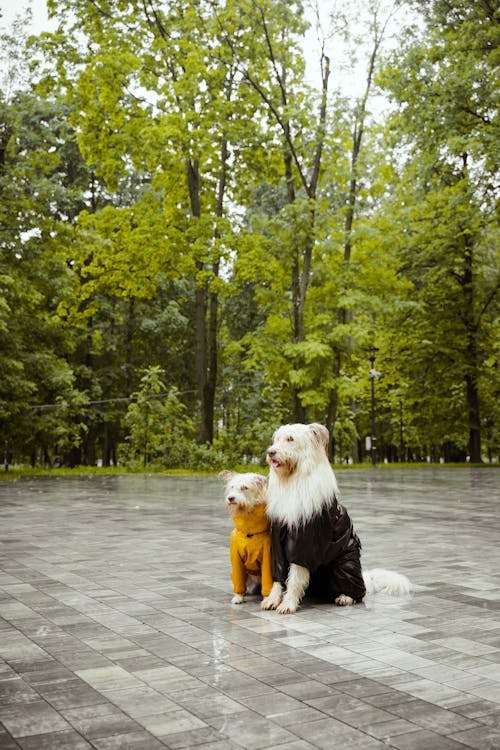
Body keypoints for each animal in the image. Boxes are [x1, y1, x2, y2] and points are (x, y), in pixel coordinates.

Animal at [221, 472, 274, 608]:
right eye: (232, 487)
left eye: (245, 487)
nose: (231, 498)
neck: (249, 533)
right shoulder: (236, 559)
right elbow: (238, 579)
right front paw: (238, 597)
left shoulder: (267, 558)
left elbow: (267, 581)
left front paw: (267, 599)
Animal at [262, 426, 410, 612]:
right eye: (276, 439)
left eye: (290, 439)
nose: (270, 452)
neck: (294, 480)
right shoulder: (278, 541)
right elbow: (278, 575)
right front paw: (273, 599)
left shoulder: (304, 544)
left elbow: (295, 577)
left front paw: (288, 603)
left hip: (345, 566)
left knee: (358, 594)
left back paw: (345, 597)